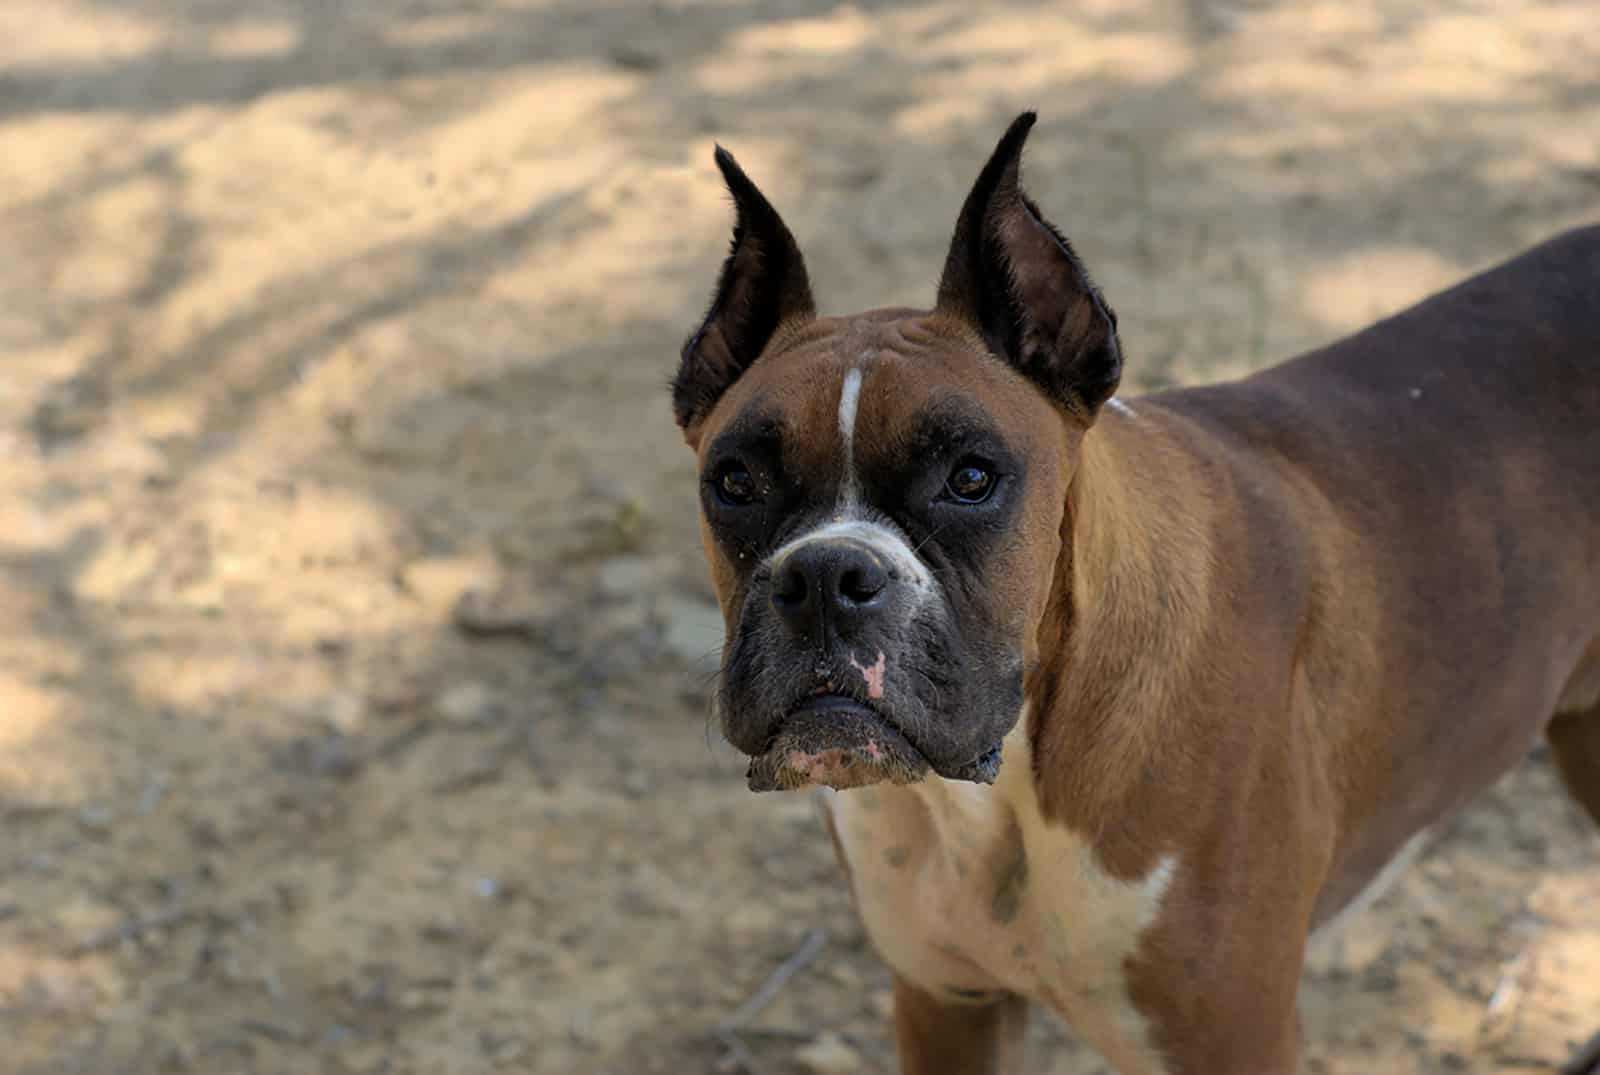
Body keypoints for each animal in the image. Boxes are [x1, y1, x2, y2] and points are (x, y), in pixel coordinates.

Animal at [665, 113, 1600, 1068]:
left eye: (971, 478)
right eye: (734, 482)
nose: (825, 575)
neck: (1010, 788)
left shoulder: (1236, 1039)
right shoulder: (946, 1005)